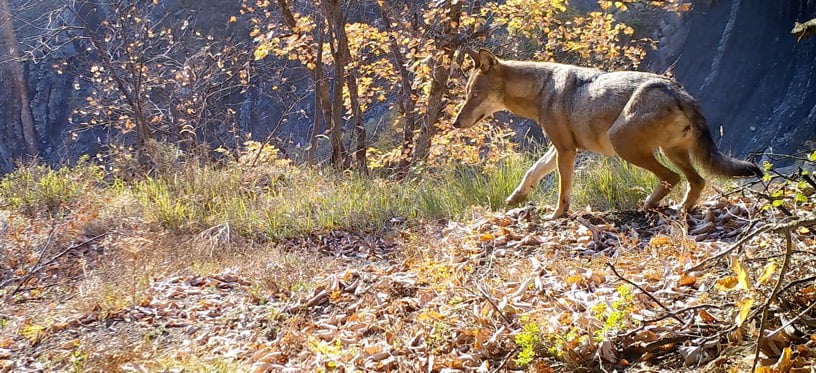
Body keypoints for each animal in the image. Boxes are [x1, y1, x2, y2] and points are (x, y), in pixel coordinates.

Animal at [452, 49, 764, 218]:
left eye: (474, 95)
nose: (455, 123)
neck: (541, 89)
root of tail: (679, 92)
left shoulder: (566, 151)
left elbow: (563, 189)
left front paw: (558, 215)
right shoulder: (560, 148)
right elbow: (533, 171)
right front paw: (515, 198)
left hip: (625, 144)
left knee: (673, 178)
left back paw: (650, 205)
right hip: (670, 152)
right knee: (696, 181)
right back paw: (679, 210)